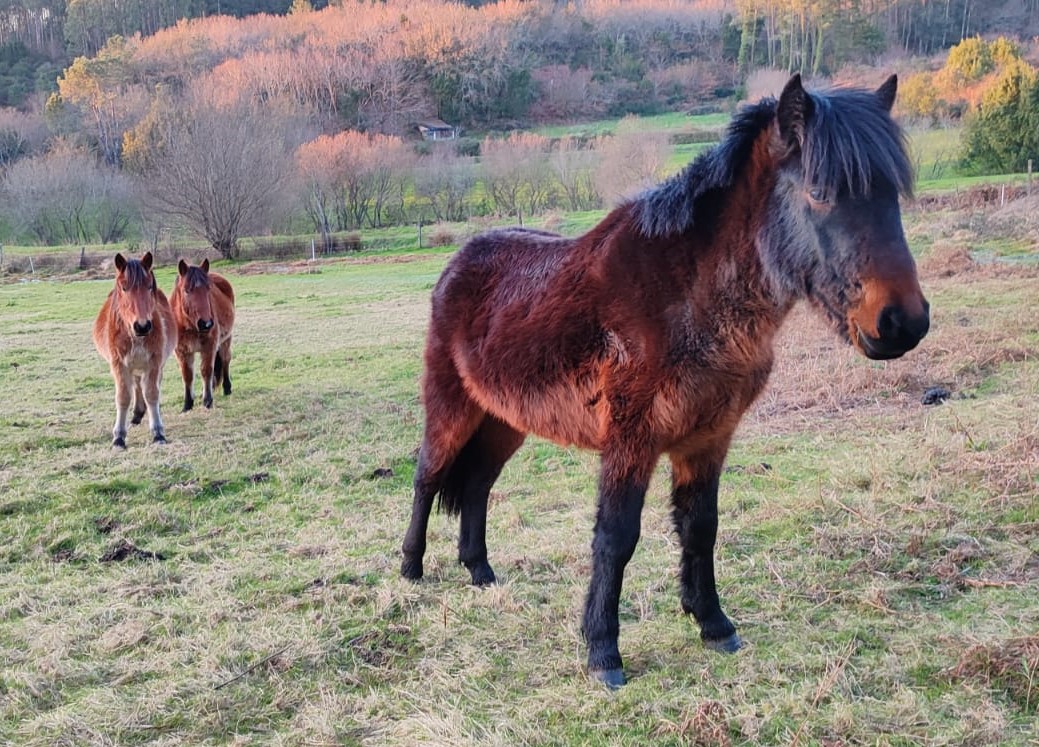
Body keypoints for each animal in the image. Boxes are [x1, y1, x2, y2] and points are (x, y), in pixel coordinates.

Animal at [92, 252, 177, 449]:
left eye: (149, 286)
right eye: (124, 288)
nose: (142, 326)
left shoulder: (154, 363)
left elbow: (152, 393)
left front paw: (158, 433)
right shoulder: (119, 365)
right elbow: (123, 397)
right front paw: (119, 437)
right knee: (137, 385)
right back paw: (137, 415)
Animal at [169, 258, 236, 411]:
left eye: (208, 289)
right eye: (187, 290)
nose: (206, 323)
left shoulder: (209, 346)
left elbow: (206, 371)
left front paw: (207, 401)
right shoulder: (182, 351)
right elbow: (187, 375)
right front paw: (187, 404)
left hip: (226, 340)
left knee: (225, 360)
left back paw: (227, 388)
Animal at [400, 74, 930, 688]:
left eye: (893, 193)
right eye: (820, 191)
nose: (901, 322)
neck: (686, 299)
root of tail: (458, 262)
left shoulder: (707, 439)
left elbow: (701, 528)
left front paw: (714, 625)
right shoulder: (632, 439)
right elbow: (616, 536)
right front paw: (603, 652)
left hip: (505, 420)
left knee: (478, 485)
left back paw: (480, 571)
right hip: (452, 406)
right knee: (428, 476)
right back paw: (411, 568)